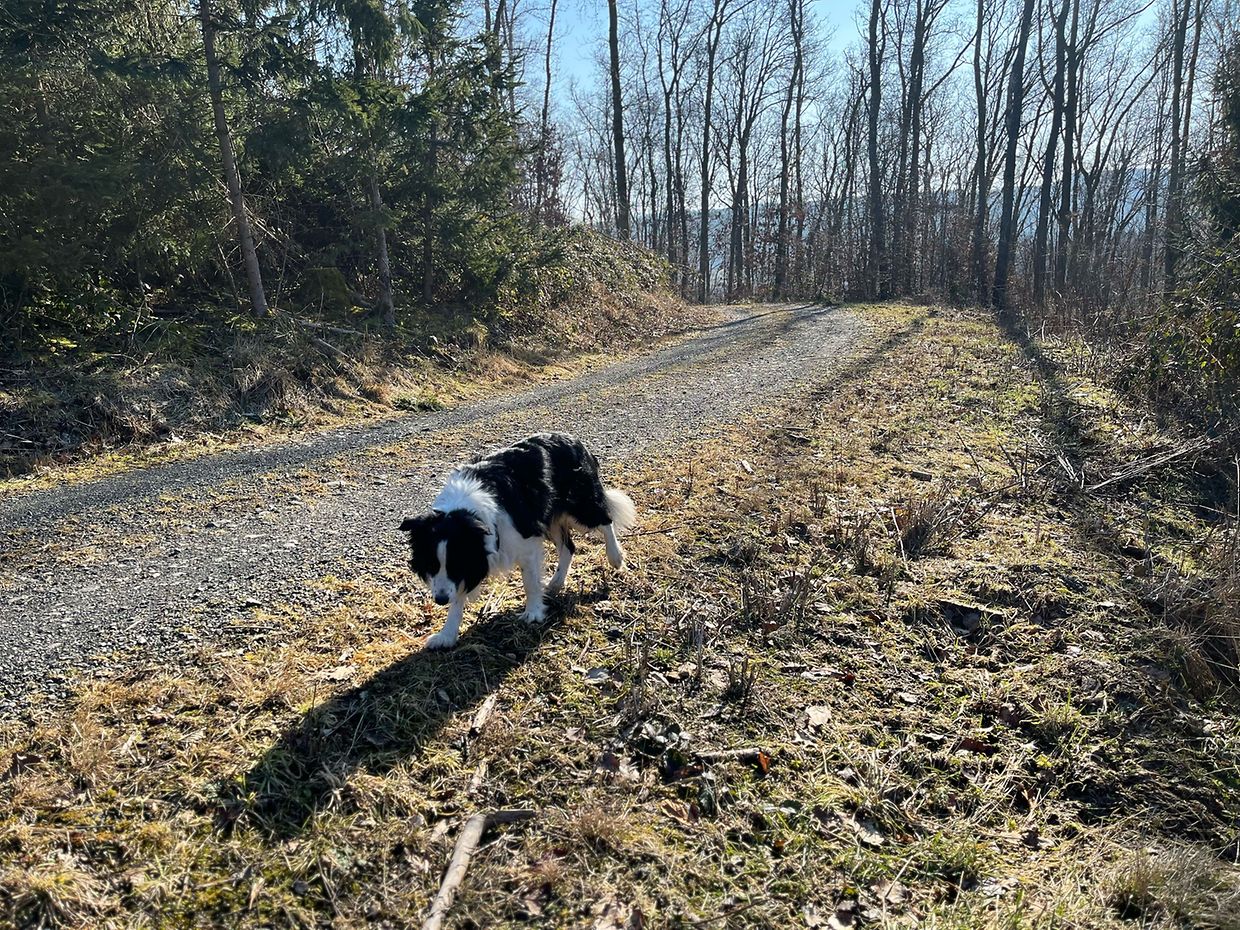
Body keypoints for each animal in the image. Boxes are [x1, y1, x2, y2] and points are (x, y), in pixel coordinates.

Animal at [399, 432, 637, 649]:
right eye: (431, 565)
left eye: (455, 564)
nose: (440, 600)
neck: (465, 513)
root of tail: (574, 440)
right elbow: (457, 597)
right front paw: (447, 635)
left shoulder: (526, 543)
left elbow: (530, 583)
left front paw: (533, 613)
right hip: (552, 518)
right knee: (569, 547)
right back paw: (556, 583)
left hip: (580, 505)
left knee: (605, 520)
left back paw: (615, 557)